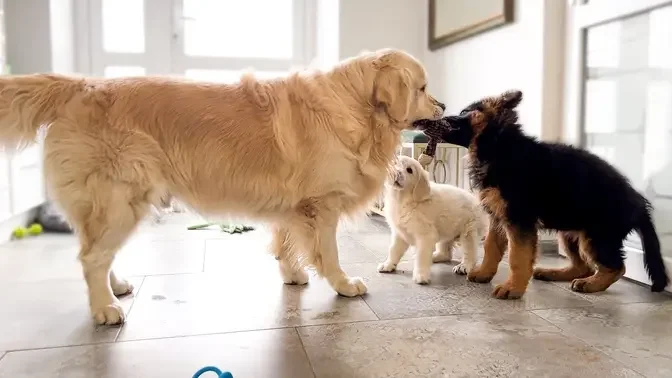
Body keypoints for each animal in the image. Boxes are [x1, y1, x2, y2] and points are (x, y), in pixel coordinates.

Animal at [0, 48, 446, 324]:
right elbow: (328, 253)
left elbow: (285, 243)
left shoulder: (292, 204)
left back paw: (117, 287)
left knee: (96, 251)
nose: (443, 105)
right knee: (92, 257)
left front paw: (292, 275)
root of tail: (80, 85)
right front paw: (343, 284)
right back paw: (104, 309)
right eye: (422, 87)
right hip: (120, 200)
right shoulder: (322, 205)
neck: (355, 105)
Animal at [376, 156, 486, 284]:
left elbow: (421, 256)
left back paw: (463, 266)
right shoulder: (399, 233)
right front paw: (388, 265)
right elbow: (393, 250)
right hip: (446, 229)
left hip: (469, 230)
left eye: (409, 170)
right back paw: (434, 256)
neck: (404, 200)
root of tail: (478, 201)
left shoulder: (425, 235)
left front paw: (421, 275)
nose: (397, 173)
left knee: (471, 253)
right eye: (394, 164)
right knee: (446, 254)